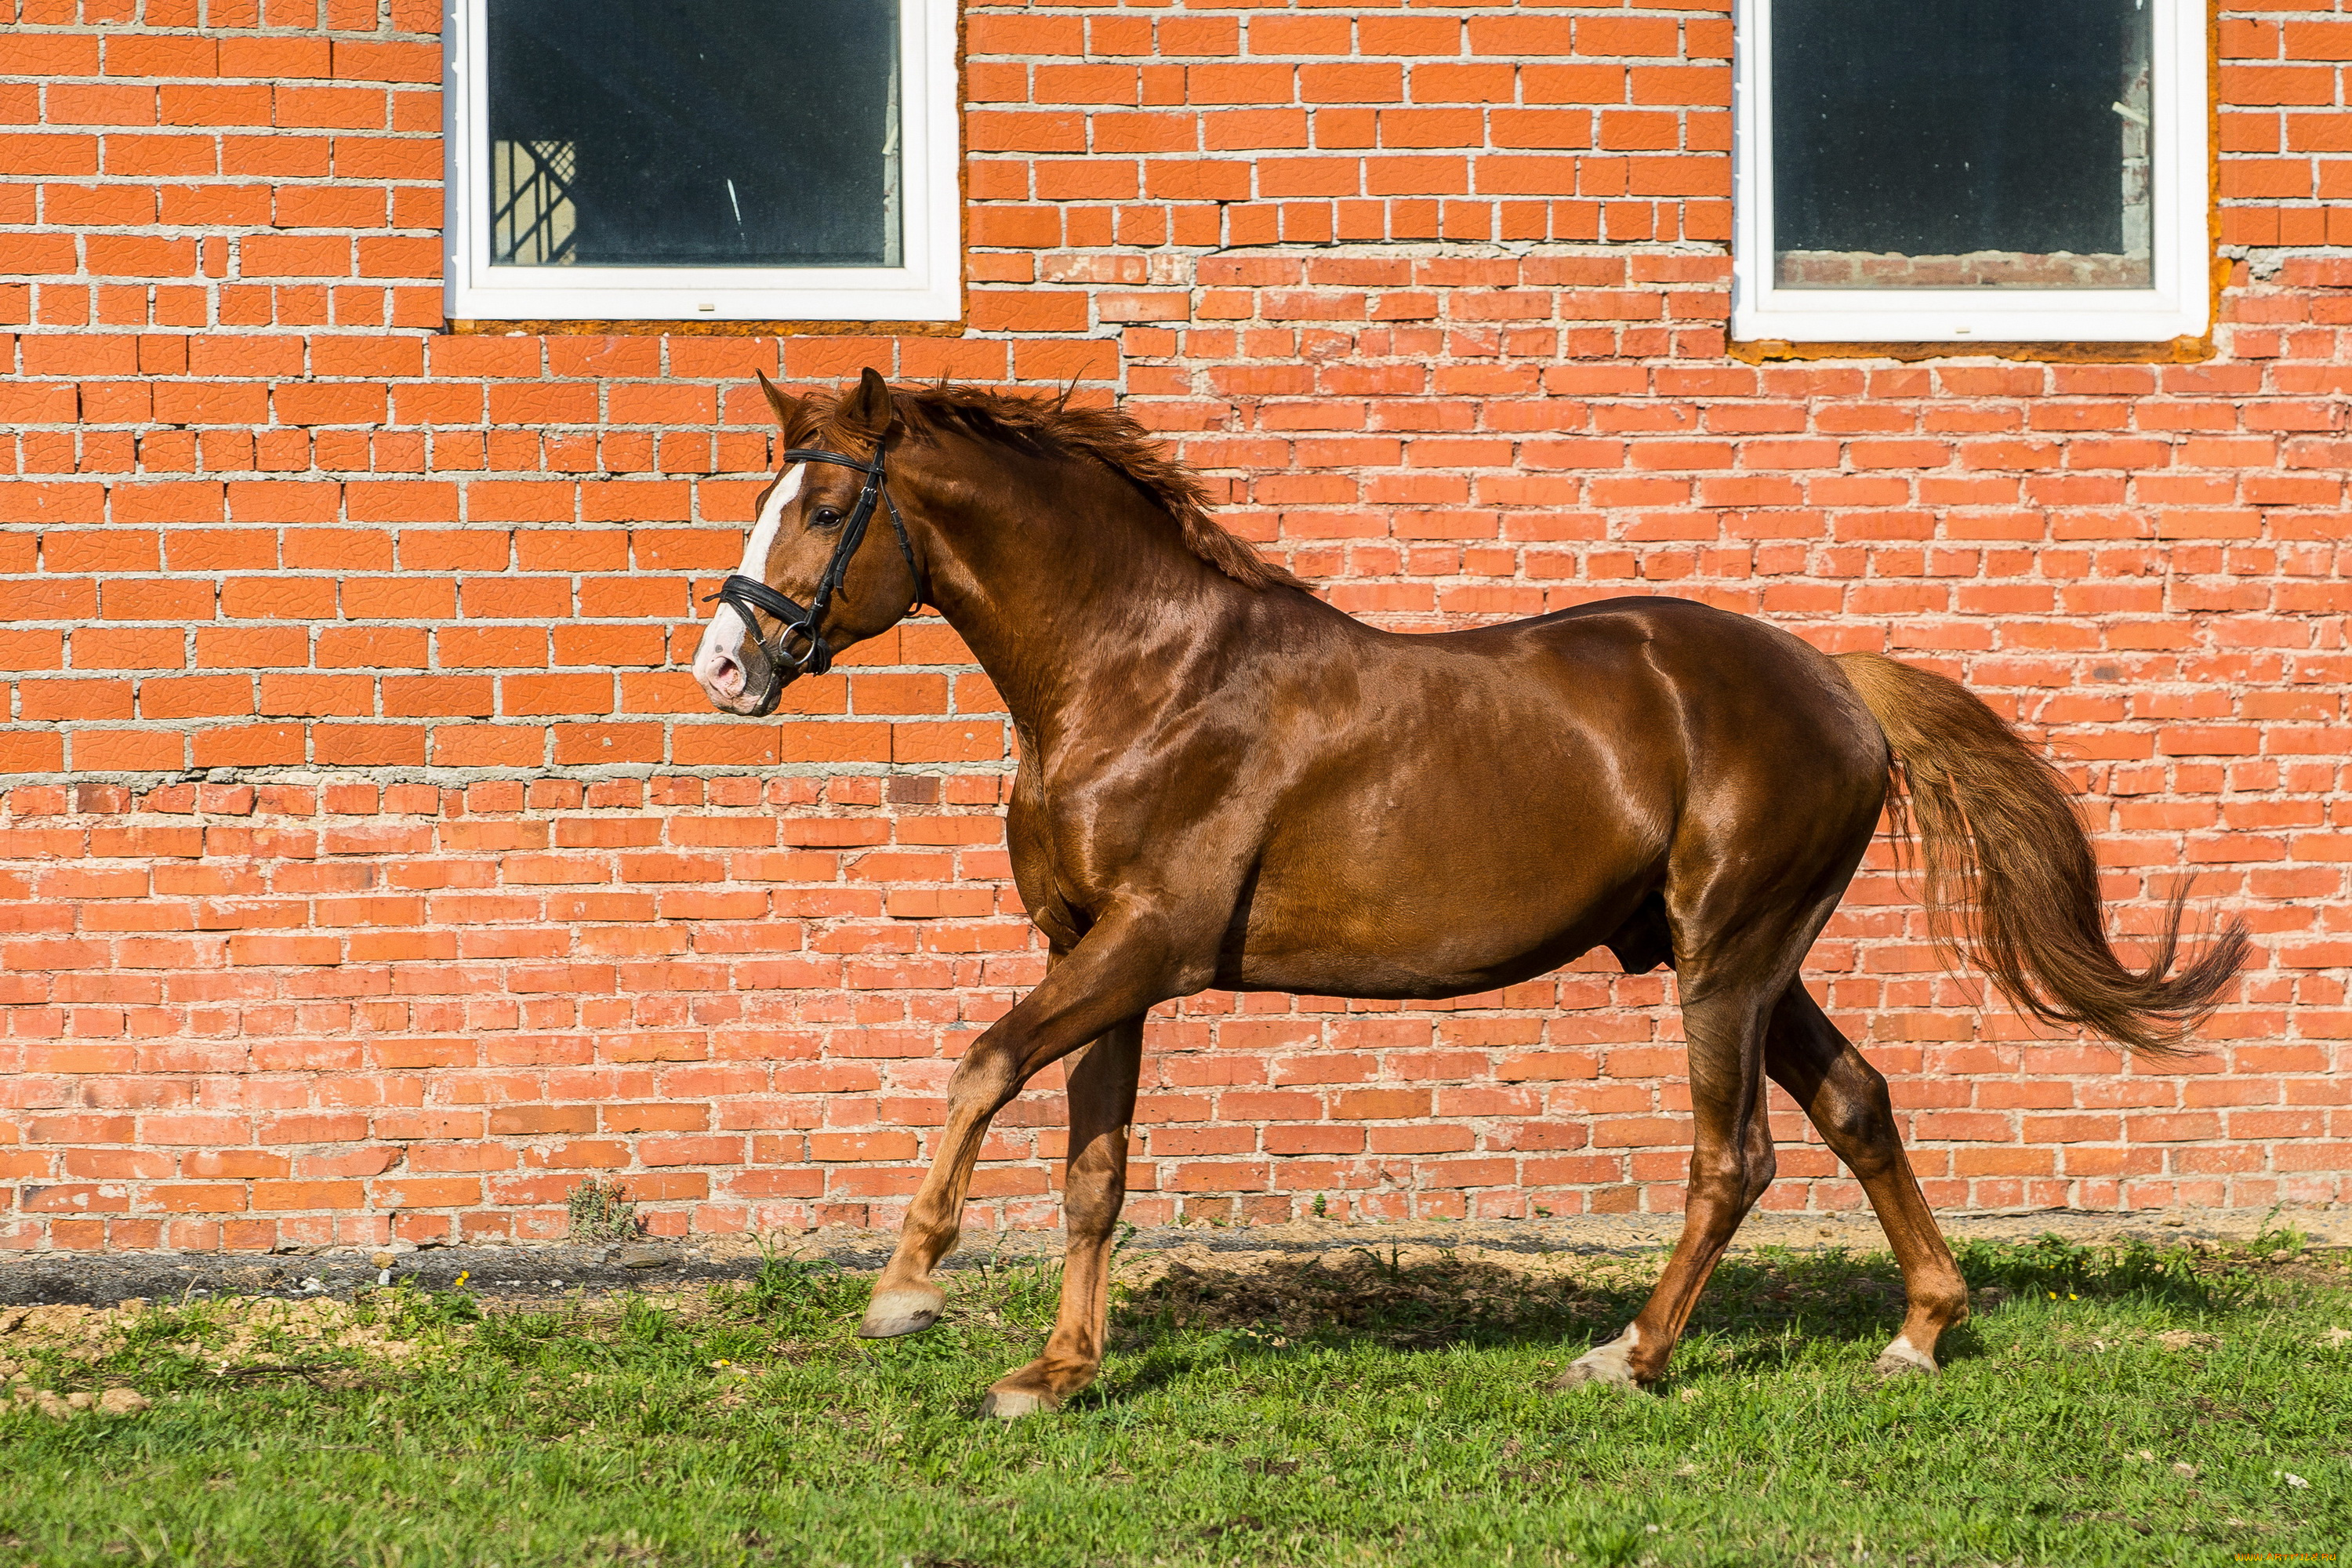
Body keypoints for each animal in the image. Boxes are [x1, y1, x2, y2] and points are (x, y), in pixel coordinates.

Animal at [687, 371, 2249, 1420]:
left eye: (824, 505)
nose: (723, 668)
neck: (1142, 677)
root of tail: (1835, 680)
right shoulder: (1093, 950)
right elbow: (1093, 1171)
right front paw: (1059, 1375)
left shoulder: (1146, 949)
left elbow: (982, 1064)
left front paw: (905, 1289)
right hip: (1760, 958)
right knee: (1857, 1104)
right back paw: (1921, 1332)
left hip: (1728, 960)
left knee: (1734, 1158)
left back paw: (1632, 1356)